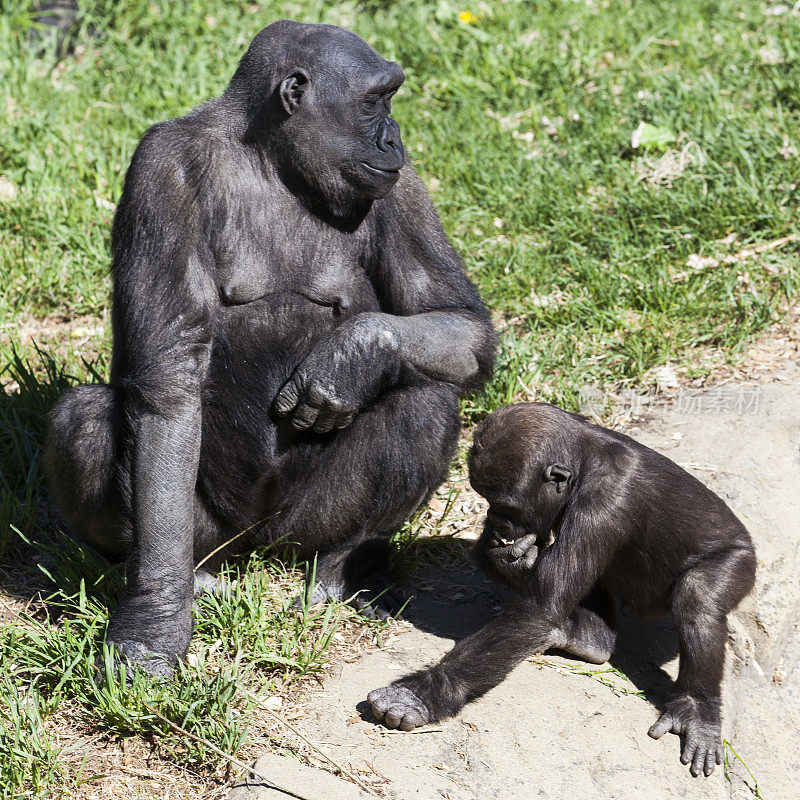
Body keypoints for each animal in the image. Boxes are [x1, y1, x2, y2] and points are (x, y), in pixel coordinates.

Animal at [45, 20, 494, 676]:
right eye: (374, 101)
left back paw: (343, 567)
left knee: (426, 399)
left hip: (302, 527)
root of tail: (257, 548)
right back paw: (192, 580)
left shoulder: (403, 183)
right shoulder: (162, 172)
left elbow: (461, 322)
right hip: (212, 535)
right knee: (85, 423)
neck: (271, 159)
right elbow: (168, 386)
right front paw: (154, 619)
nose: (393, 137)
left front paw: (353, 356)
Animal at [368, 404, 756, 780]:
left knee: (698, 597)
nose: (495, 519)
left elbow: (542, 606)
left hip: (740, 563)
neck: (585, 459)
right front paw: (510, 560)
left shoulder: (604, 503)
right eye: (487, 500)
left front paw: (422, 693)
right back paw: (587, 639)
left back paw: (695, 708)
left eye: (506, 505)